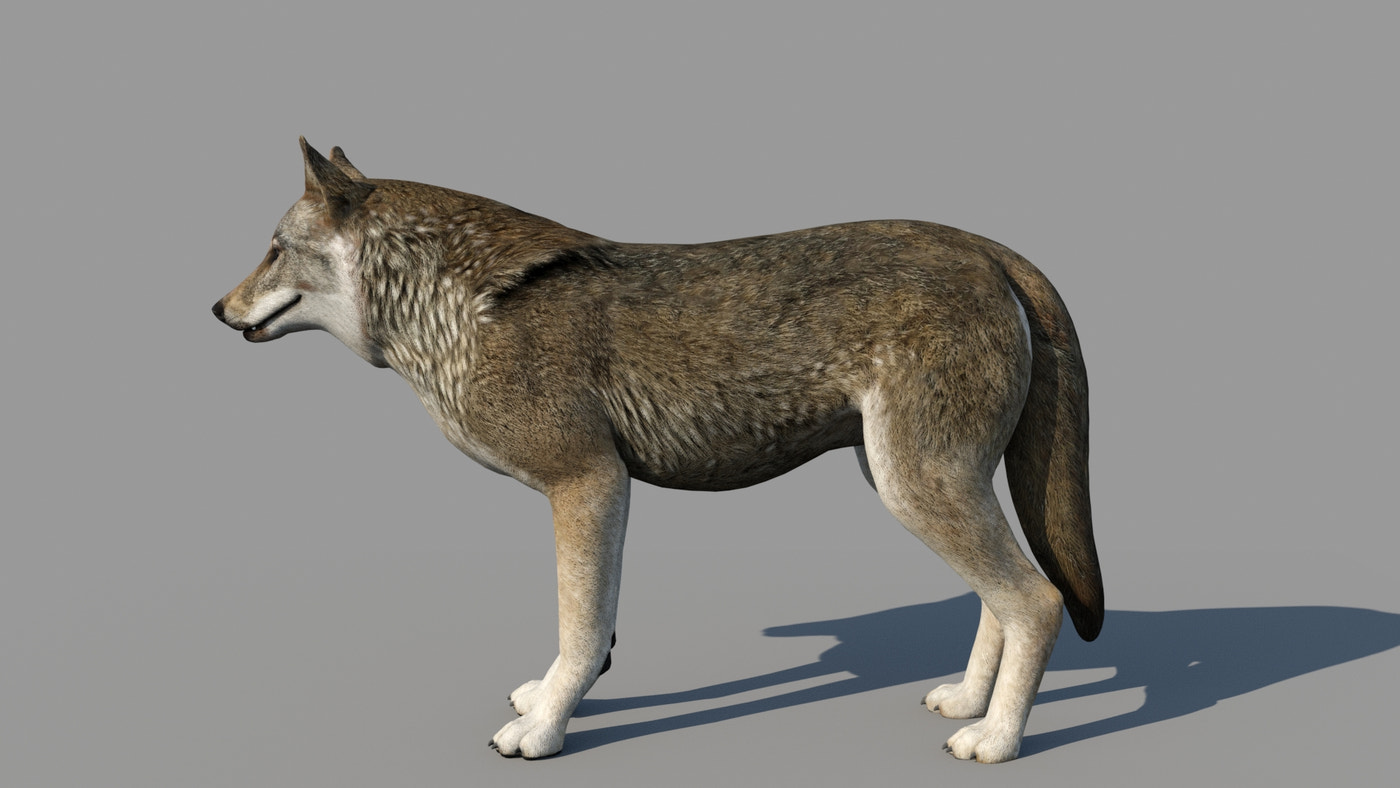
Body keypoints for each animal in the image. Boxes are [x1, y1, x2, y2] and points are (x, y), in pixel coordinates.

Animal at [212, 138, 1103, 763]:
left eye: (272, 247)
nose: (217, 308)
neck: (456, 312)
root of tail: (984, 247)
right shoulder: (595, 494)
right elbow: (586, 633)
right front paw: (548, 698)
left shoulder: (590, 483)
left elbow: (581, 626)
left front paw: (545, 731)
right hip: (916, 485)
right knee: (999, 599)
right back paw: (969, 704)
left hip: (917, 489)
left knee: (1036, 599)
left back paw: (998, 742)